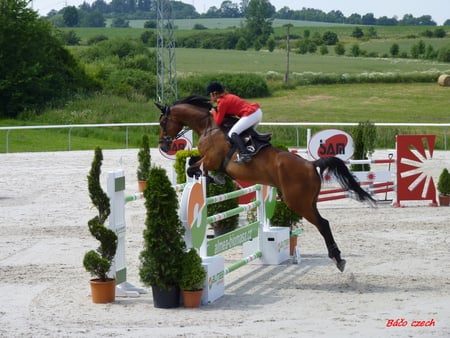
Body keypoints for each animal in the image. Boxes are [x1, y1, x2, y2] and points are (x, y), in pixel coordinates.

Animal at [156, 94, 374, 272]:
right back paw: (338, 257)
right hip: (309, 201)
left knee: (322, 224)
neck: (209, 126)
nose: (164, 145)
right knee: (324, 222)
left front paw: (210, 177)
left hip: (298, 202)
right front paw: (214, 178)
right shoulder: (207, 159)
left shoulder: (211, 159)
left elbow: (194, 167)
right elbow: (193, 163)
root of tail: (312, 164)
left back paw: (337, 259)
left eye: (163, 122)